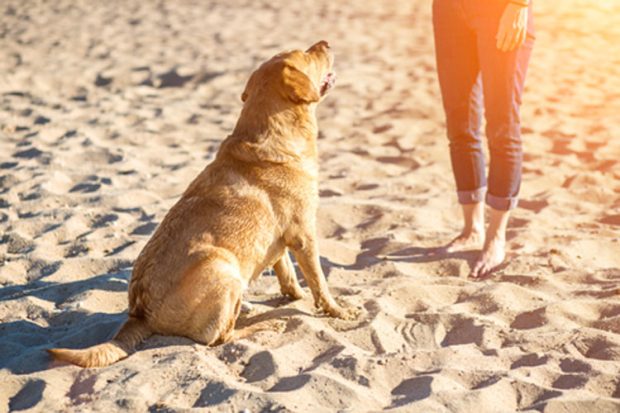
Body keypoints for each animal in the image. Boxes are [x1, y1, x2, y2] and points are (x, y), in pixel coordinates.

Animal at [48, 39, 354, 366]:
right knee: (217, 337)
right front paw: (339, 311)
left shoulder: (279, 237)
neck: (272, 132)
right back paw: (261, 325)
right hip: (222, 267)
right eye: (305, 53)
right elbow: (319, 282)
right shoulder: (304, 234)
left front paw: (294, 295)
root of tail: (139, 315)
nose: (326, 42)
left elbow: (286, 270)